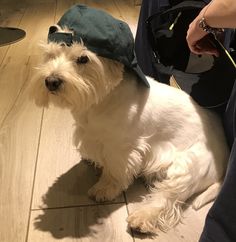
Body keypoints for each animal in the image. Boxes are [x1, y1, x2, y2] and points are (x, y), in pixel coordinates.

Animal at [32, 4, 230, 234]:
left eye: (83, 59)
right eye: (50, 54)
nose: (51, 81)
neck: (101, 100)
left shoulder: (121, 149)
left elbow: (115, 172)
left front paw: (104, 188)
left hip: (187, 167)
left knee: (168, 197)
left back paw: (142, 217)